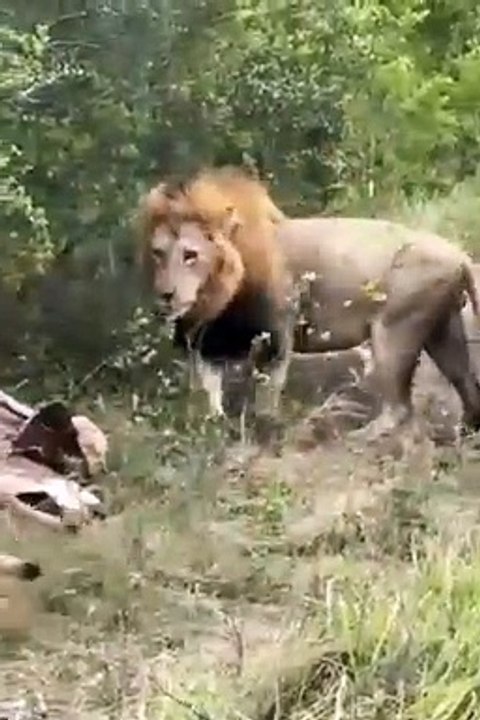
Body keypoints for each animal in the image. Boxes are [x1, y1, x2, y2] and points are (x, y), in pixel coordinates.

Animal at [136, 165, 480, 437]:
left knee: (400, 409)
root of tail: (460, 255)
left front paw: (265, 429)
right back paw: (464, 432)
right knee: (466, 384)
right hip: (442, 329)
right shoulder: (209, 343)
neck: (220, 293)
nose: (166, 295)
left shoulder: (275, 335)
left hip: (393, 330)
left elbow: (267, 392)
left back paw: (357, 439)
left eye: (190, 255)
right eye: (158, 252)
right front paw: (214, 427)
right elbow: (210, 392)